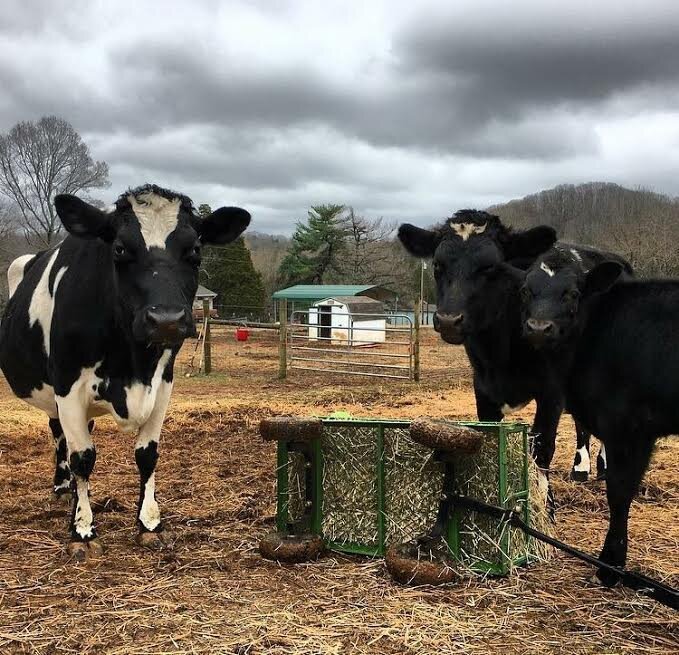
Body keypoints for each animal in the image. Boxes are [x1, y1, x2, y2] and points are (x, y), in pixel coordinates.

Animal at [0, 184, 250, 560]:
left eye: (194, 250)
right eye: (119, 248)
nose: (166, 320)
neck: (132, 365)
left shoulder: (162, 385)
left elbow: (147, 455)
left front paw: (149, 524)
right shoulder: (68, 386)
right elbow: (83, 457)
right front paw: (82, 530)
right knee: (60, 435)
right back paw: (62, 485)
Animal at [397, 210, 610, 482]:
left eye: (490, 266)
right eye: (437, 265)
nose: (448, 320)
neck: (501, 353)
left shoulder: (552, 391)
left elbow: (542, 448)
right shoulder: (483, 388)